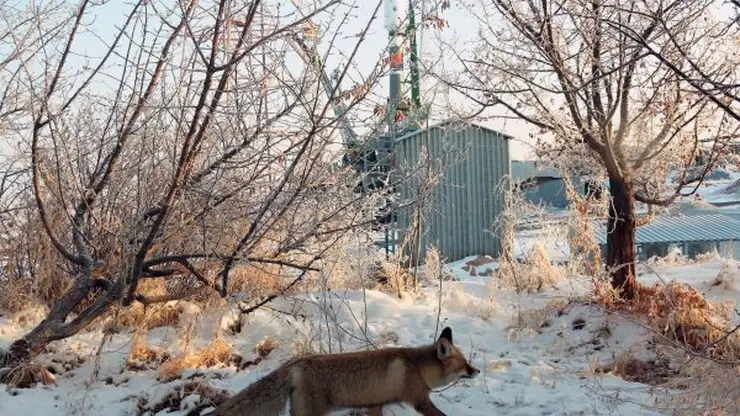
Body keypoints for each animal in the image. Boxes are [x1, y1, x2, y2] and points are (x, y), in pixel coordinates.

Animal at [186, 326, 480, 414]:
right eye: (465, 364)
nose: (476, 371)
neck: (417, 368)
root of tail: (294, 364)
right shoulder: (419, 400)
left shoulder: (376, 404)